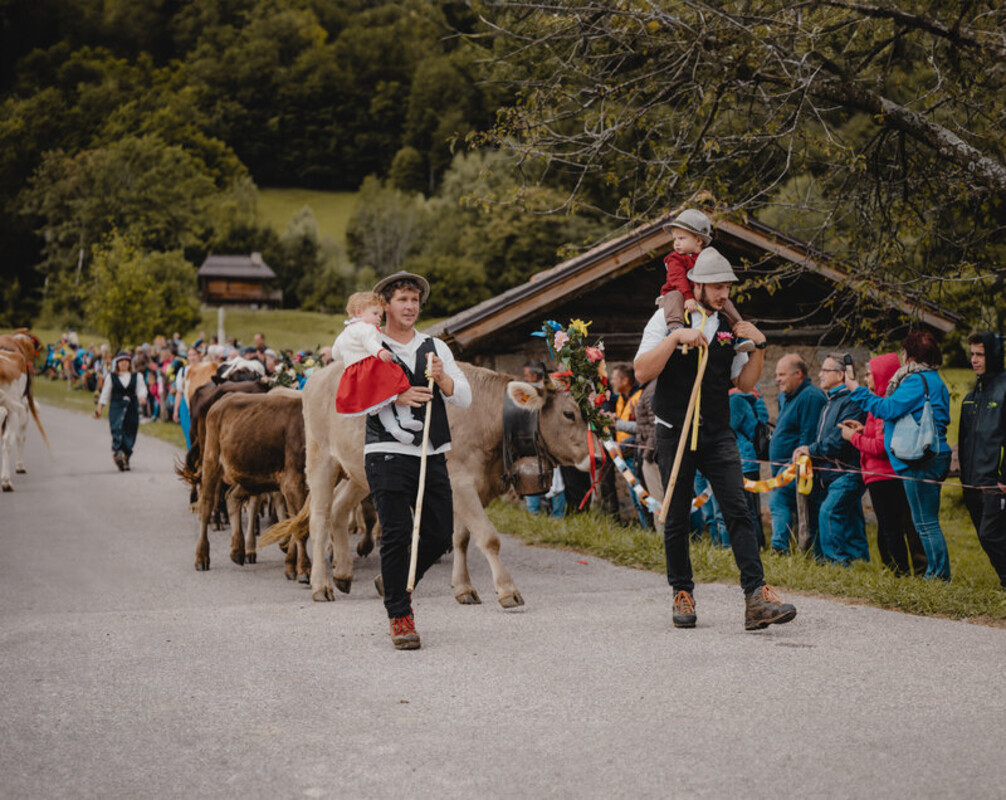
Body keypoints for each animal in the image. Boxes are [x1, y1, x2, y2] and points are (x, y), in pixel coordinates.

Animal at [261, 361, 597, 608]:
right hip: (321, 459)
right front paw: (507, 590)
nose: (596, 457)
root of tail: (319, 375)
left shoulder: (471, 487)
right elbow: (488, 537)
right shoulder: (461, 483)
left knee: (340, 510)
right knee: (319, 519)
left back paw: (343, 572)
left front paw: (463, 588)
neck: (483, 415)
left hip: (360, 472)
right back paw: (321, 584)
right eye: (569, 414)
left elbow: (460, 537)